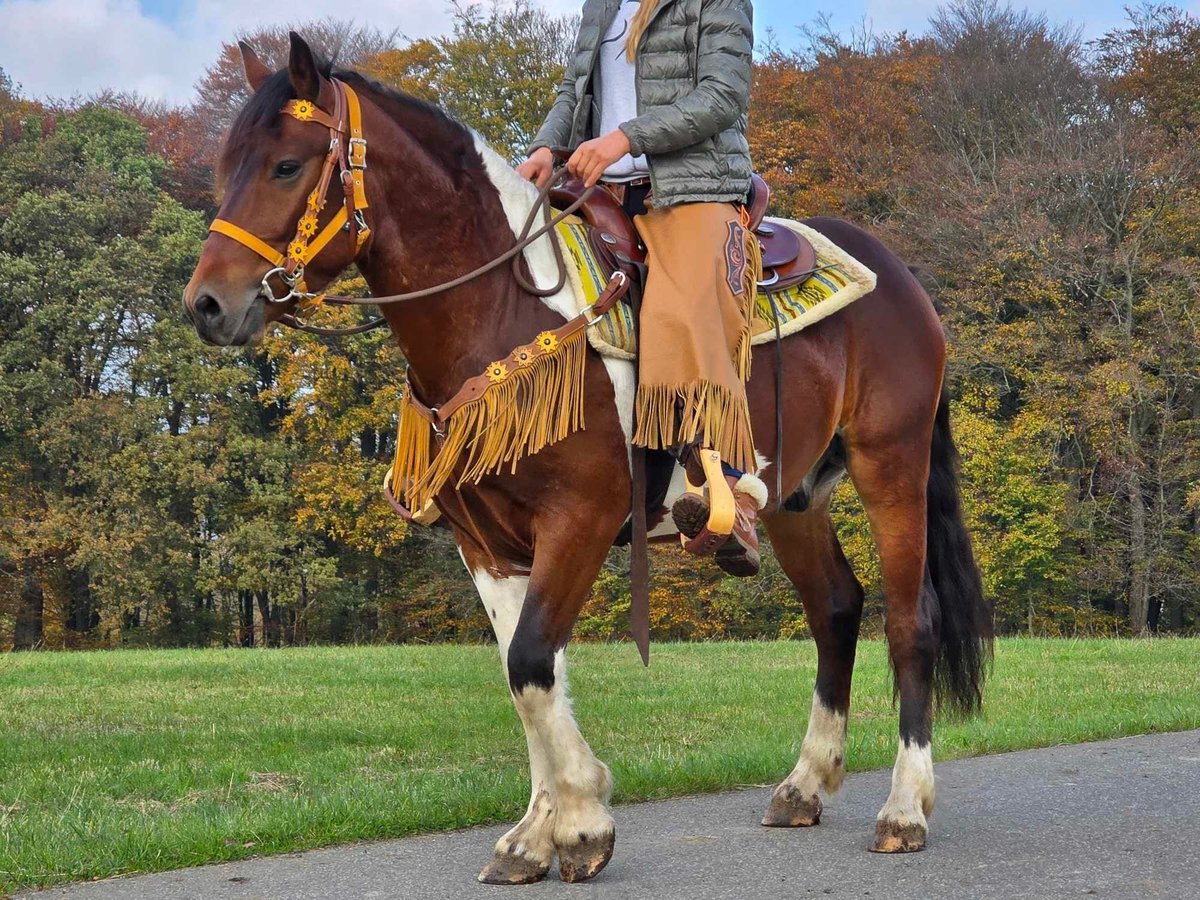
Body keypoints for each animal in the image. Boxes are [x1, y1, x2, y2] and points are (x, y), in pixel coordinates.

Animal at [184, 33, 993, 888]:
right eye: (226, 168)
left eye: (286, 165)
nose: (206, 304)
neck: (503, 310)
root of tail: (900, 277)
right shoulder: (488, 544)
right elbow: (532, 676)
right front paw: (536, 832)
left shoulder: (582, 514)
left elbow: (532, 662)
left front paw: (579, 824)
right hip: (793, 495)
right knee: (836, 608)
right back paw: (804, 785)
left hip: (891, 463)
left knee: (909, 621)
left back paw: (903, 809)